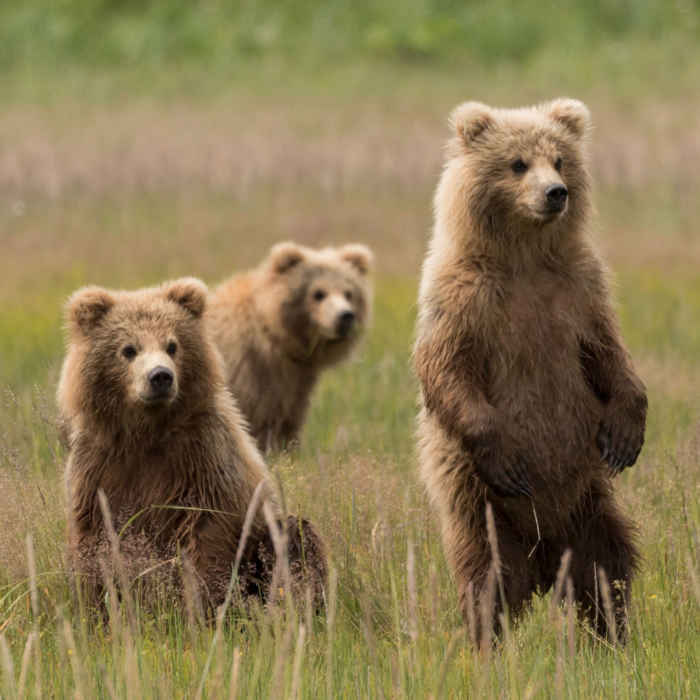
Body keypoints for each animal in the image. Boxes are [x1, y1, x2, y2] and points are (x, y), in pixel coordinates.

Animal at [206, 242, 372, 454]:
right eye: (318, 293)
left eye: (349, 293)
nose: (345, 316)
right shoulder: (251, 375)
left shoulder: (295, 386)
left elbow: (288, 423)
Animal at [412, 101, 648, 644]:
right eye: (517, 163)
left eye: (559, 160)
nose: (555, 192)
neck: (525, 257)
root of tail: (544, 560)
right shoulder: (463, 300)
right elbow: (444, 369)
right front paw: (504, 454)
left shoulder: (579, 292)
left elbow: (608, 353)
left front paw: (624, 436)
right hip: (485, 511)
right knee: (488, 579)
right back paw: (487, 644)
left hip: (587, 506)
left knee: (608, 568)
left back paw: (615, 638)